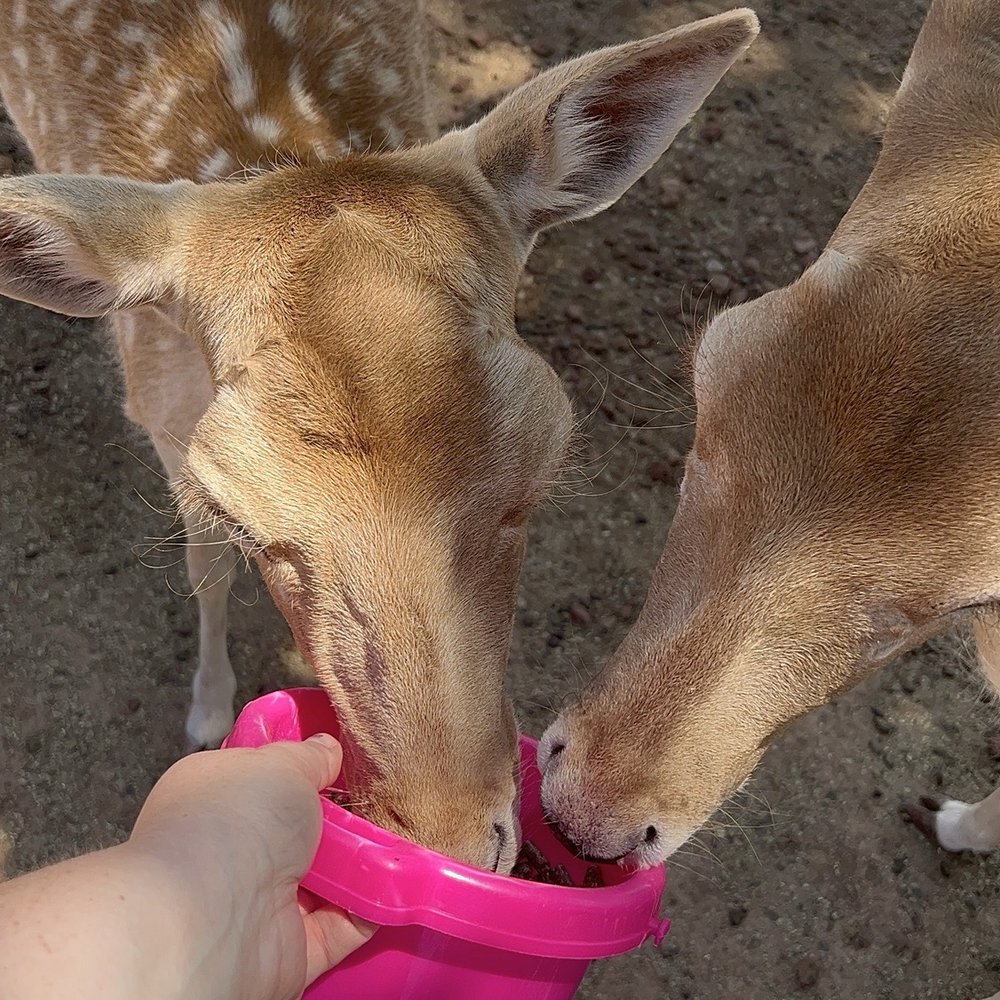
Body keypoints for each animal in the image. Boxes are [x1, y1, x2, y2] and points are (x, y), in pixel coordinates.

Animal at [0, 0, 759, 869]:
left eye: (539, 478)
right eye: (240, 517)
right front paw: (207, 713)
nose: (453, 839)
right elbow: (205, 572)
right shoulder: (158, 410)